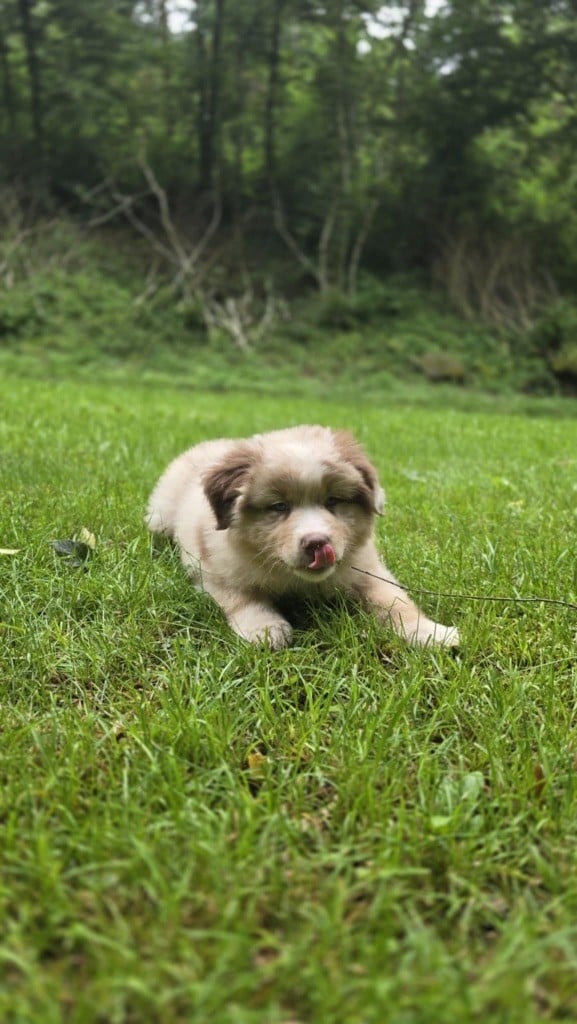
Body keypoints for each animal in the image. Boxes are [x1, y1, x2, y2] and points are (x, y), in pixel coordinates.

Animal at [146, 425, 459, 650]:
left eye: (333, 501)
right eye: (279, 506)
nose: (317, 543)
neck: (296, 580)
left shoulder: (367, 568)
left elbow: (396, 602)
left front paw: (432, 633)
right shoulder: (213, 568)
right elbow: (241, 597)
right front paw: (265, 628)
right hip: (160, 516)